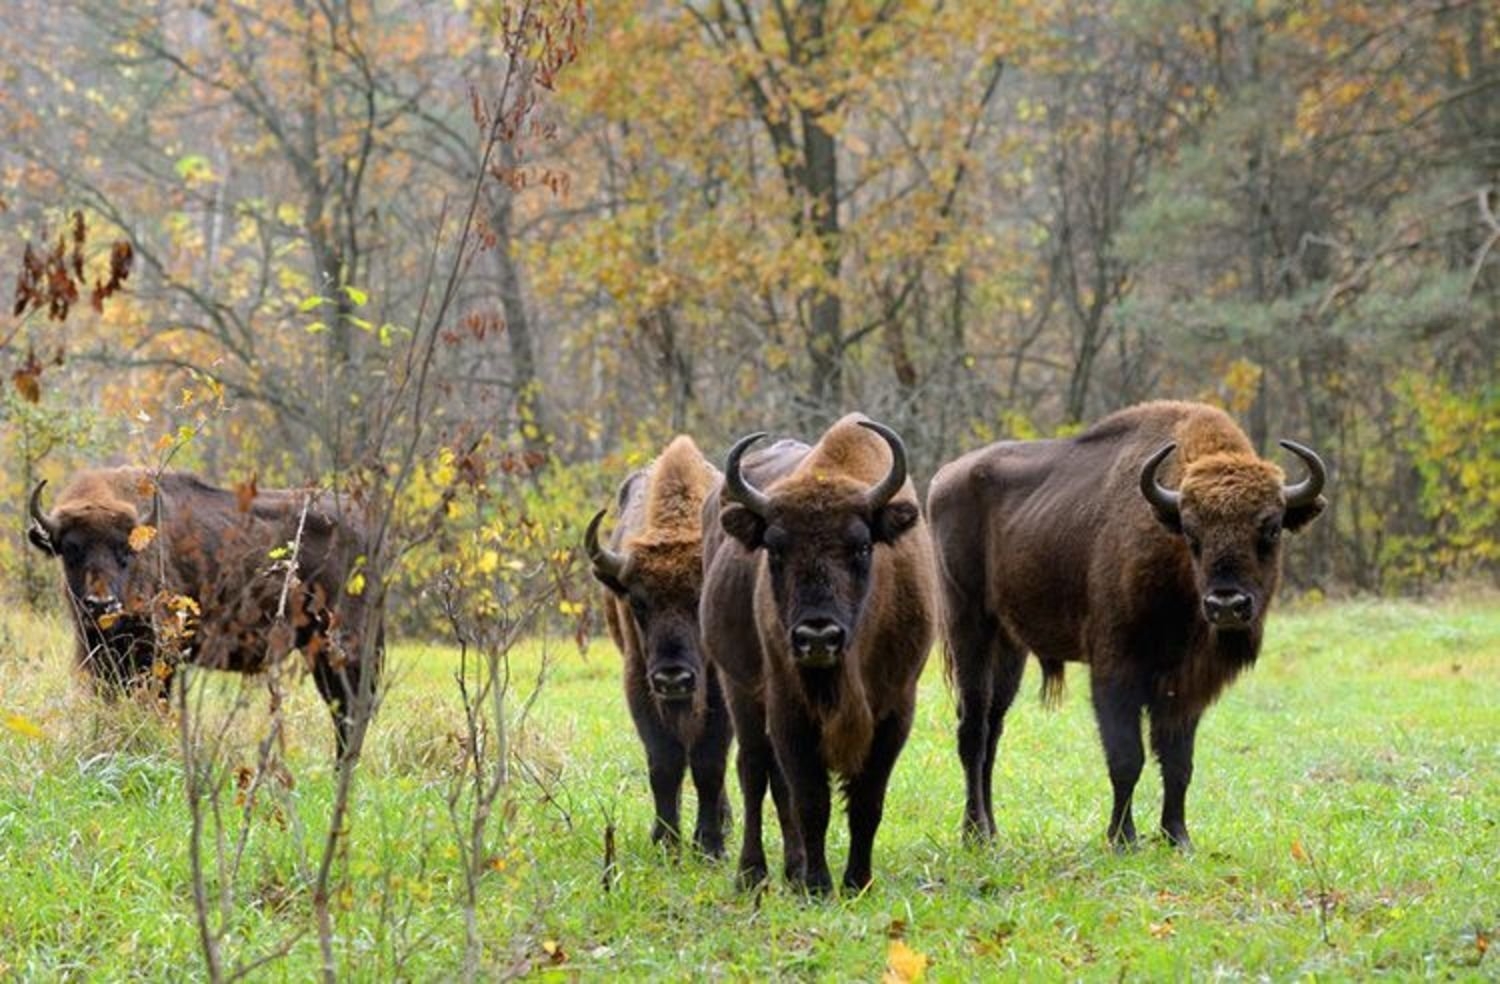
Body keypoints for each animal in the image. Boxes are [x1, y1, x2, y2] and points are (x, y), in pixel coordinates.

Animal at [30, 468, 381, 762]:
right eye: (71, 549)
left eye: (126, 550)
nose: (102, 604)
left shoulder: (158, 655)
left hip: (342, 646)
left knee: (352, 708)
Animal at [579, 435, 732, 858]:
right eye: (637, 602)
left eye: (701, 598)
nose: (673, 678)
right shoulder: (639, 683)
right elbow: (665, 763)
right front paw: (666, 843)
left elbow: (709, 763)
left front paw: (709, 847)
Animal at [702, 414, 936, 894]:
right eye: (775, 548)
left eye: (862, 546)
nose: (817, 637)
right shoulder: (789, 708)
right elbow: (811, 800)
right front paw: (818, 885)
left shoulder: (896, 710)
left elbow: (866, 802)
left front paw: (857, 881)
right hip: (739, 688)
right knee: (754, 772)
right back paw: (753, 874)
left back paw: (791, 871)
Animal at [930, 399, 1332, 846]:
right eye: (1191, 533)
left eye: (1272, 528)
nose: (1226, 605)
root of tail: (944, 479)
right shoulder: (1115, 671)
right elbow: (1127, 759)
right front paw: (1122, 839)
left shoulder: (1184, 686)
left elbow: (1178, 763)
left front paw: (1177, 837)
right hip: (969, 628)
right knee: (973, 730)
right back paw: (975, 834)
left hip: (1010, 648)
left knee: (993, 729)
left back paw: (993, 832)